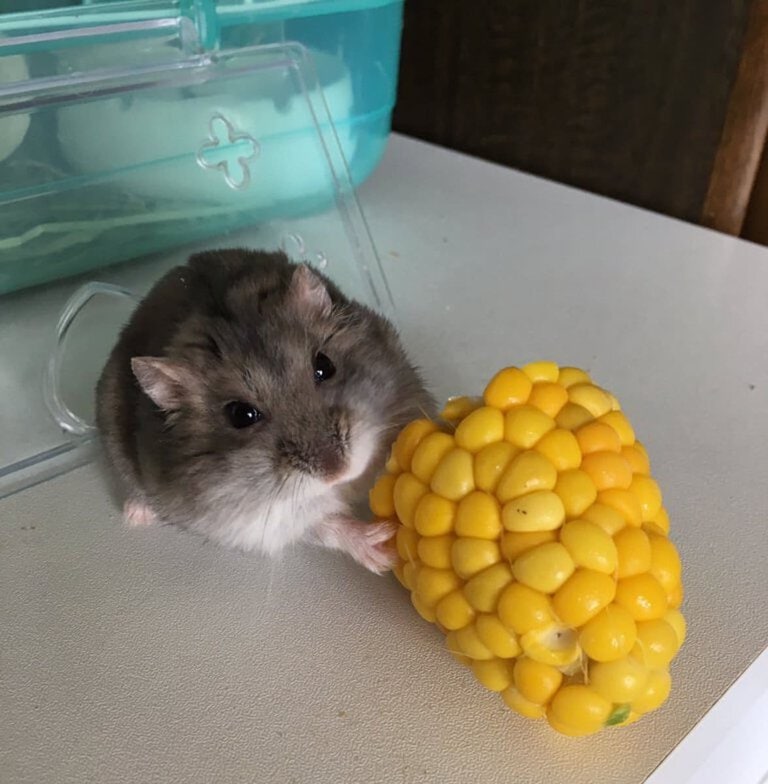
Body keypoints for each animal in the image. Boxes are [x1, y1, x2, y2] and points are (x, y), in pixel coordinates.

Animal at [95, 248, 433, 573]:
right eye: (241, 415)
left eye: (324, 366)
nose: (339, 471)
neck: (342, 487)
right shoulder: (261, 523)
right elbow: (328, 526)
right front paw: (385, 551)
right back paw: (136, 514)